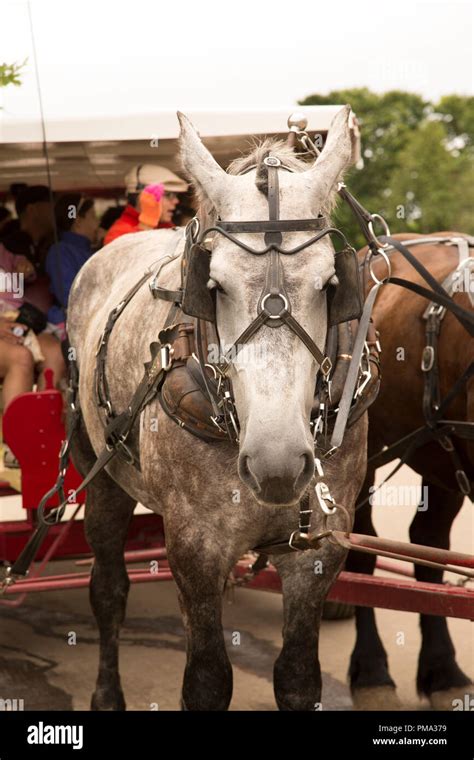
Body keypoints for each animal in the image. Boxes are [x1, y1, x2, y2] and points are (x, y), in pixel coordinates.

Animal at [67, 108, 366, 712]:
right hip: (102, 476)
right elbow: (206, 681)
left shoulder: (320, 548)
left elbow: (298, 679)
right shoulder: (195, 546)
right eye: (213, 285)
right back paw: (107, 693)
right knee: (108, 590)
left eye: (331, 283)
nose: (277, 463)